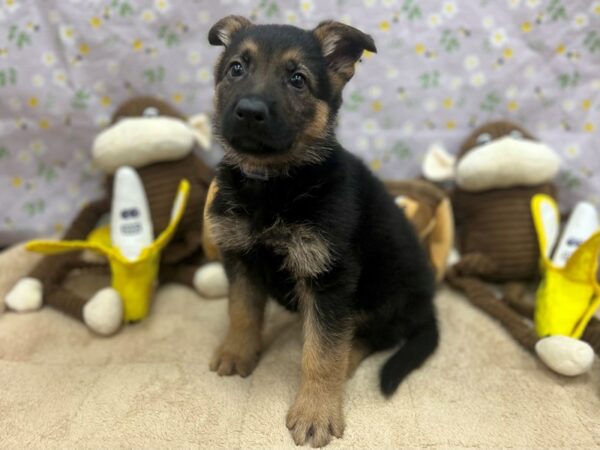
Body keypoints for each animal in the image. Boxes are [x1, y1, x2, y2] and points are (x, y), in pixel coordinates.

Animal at [206, 15, 436, 448]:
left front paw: (316, 413)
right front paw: (238, 353)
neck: (276, 183)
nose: (249, 111)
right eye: (236, 69)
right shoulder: (241, 255)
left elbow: (323, 353)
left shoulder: (330, 277)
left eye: (298, 79)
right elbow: (241, 309)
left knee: (374, 336)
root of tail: (427, 306)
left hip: (385, 285)